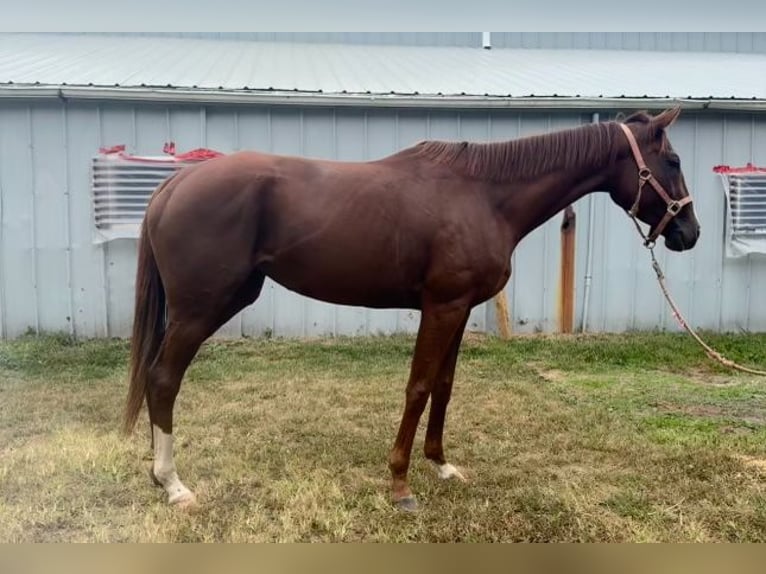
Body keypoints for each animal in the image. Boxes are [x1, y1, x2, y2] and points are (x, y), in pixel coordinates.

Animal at [121, 108, 704, 512]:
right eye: (673, 161)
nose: (689, 232)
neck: (485, 195)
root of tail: (176, 182)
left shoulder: (460, 308)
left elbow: (444, 386)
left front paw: (441, 465)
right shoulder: (441, 307)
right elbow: (419, 386)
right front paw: (400, 484)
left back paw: (157, 474)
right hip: (202, 309)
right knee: (164, 378)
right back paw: (173, 484)